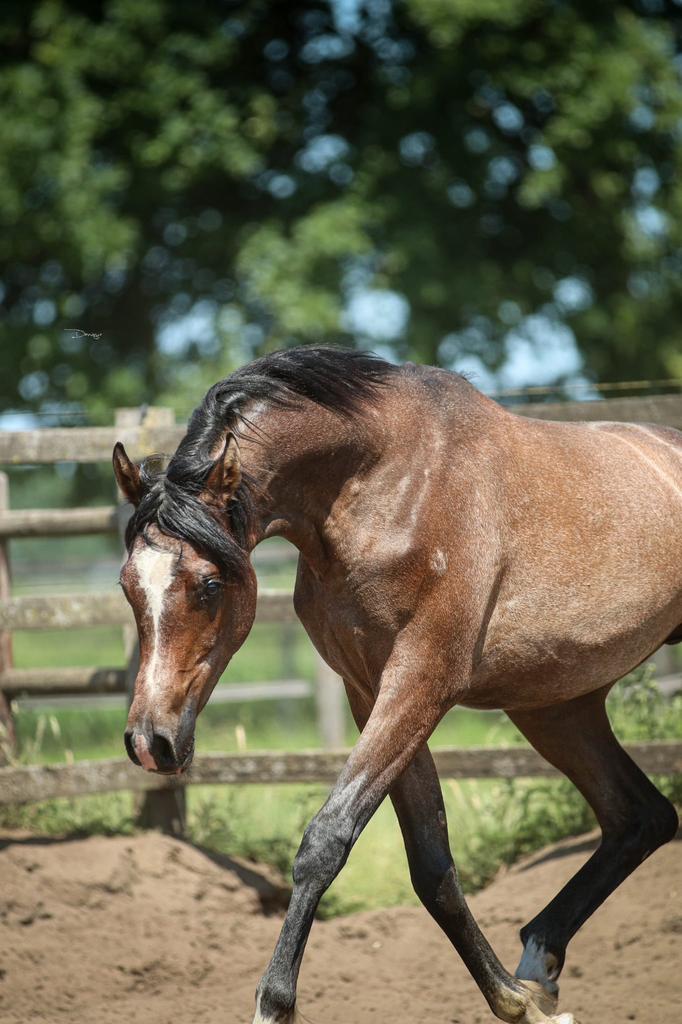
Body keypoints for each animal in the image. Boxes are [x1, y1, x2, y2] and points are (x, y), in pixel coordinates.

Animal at [113, 346, 680, 1024]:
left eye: (208, 584)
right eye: (127, 585)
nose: (150, 742)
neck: (388, 486)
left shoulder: (421, 682)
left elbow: (327, 839)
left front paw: (274, 1003)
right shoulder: (371, 691)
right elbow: (431, 863)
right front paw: (513, 1000)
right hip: (557, 706)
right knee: (641, 816)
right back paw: (537, 968)